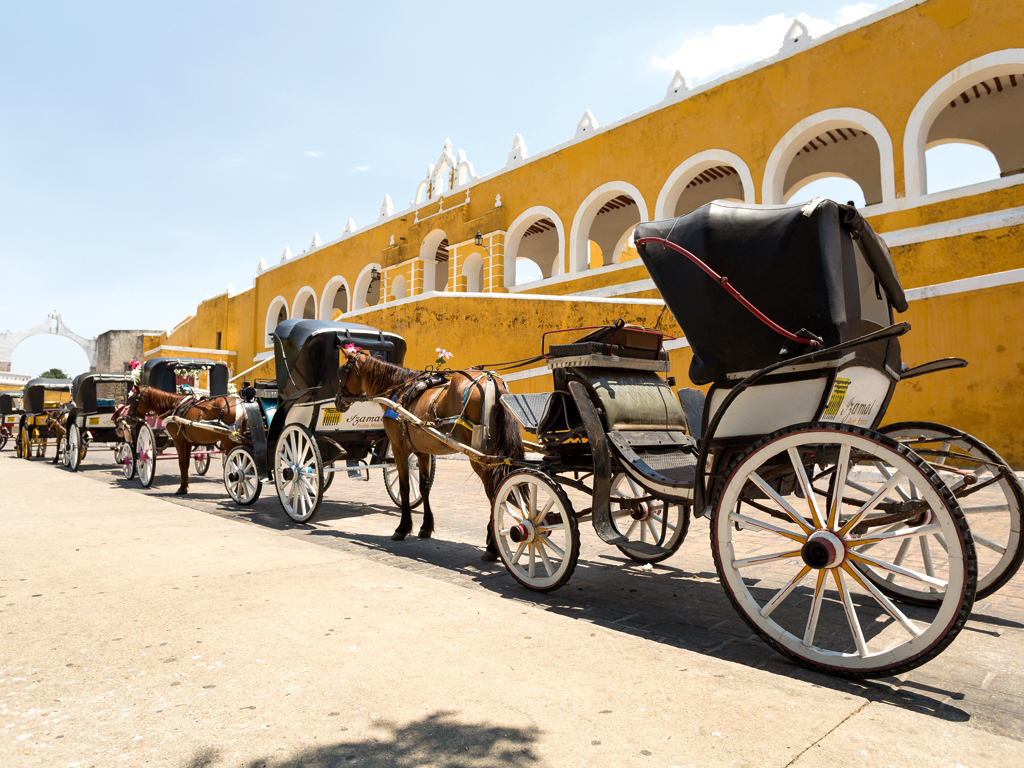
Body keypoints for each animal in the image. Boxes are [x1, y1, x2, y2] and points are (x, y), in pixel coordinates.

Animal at [337, 348, 524, 561]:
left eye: (341, 373)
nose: (337, 401)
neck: (397, 391)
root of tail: (491, 379)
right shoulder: (422, 452)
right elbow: (424, 487)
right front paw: (426, 527)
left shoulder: (399, 448)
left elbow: (404, 488)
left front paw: (402, 528)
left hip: (480, 456)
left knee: (495, 493)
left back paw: (492, 545)